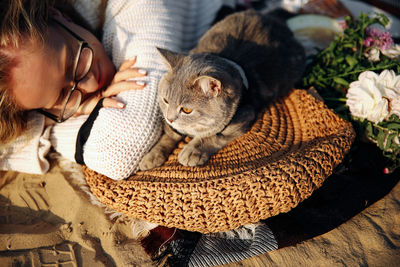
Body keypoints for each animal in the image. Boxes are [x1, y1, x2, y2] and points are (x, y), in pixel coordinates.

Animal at [139, 10, 304, 171]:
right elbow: (169, 135)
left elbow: (214, 137)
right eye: (165, 100)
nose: (169, 118)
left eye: (186, 110)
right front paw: (152, 155)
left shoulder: (244, 116)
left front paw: (193, 150)